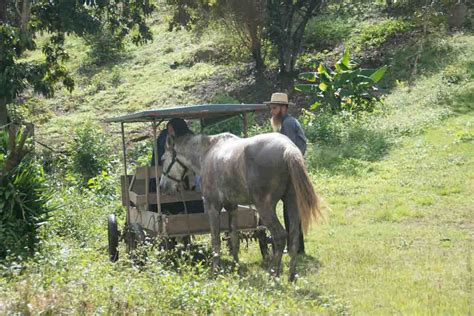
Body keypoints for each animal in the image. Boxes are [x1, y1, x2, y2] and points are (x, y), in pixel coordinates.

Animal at [160, 132, 322, 280]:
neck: (208, 152)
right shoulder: (232, 208)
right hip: (291, 203)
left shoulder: (213, 207)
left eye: (162, 159)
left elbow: (215, 242)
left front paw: (215, 271)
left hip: (265, 207)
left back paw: (273, 275)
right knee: (294, 237)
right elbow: (234, 239)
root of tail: (288, 147)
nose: (162, 186)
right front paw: (236, 267)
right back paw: (291, 276)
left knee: (280, 237)